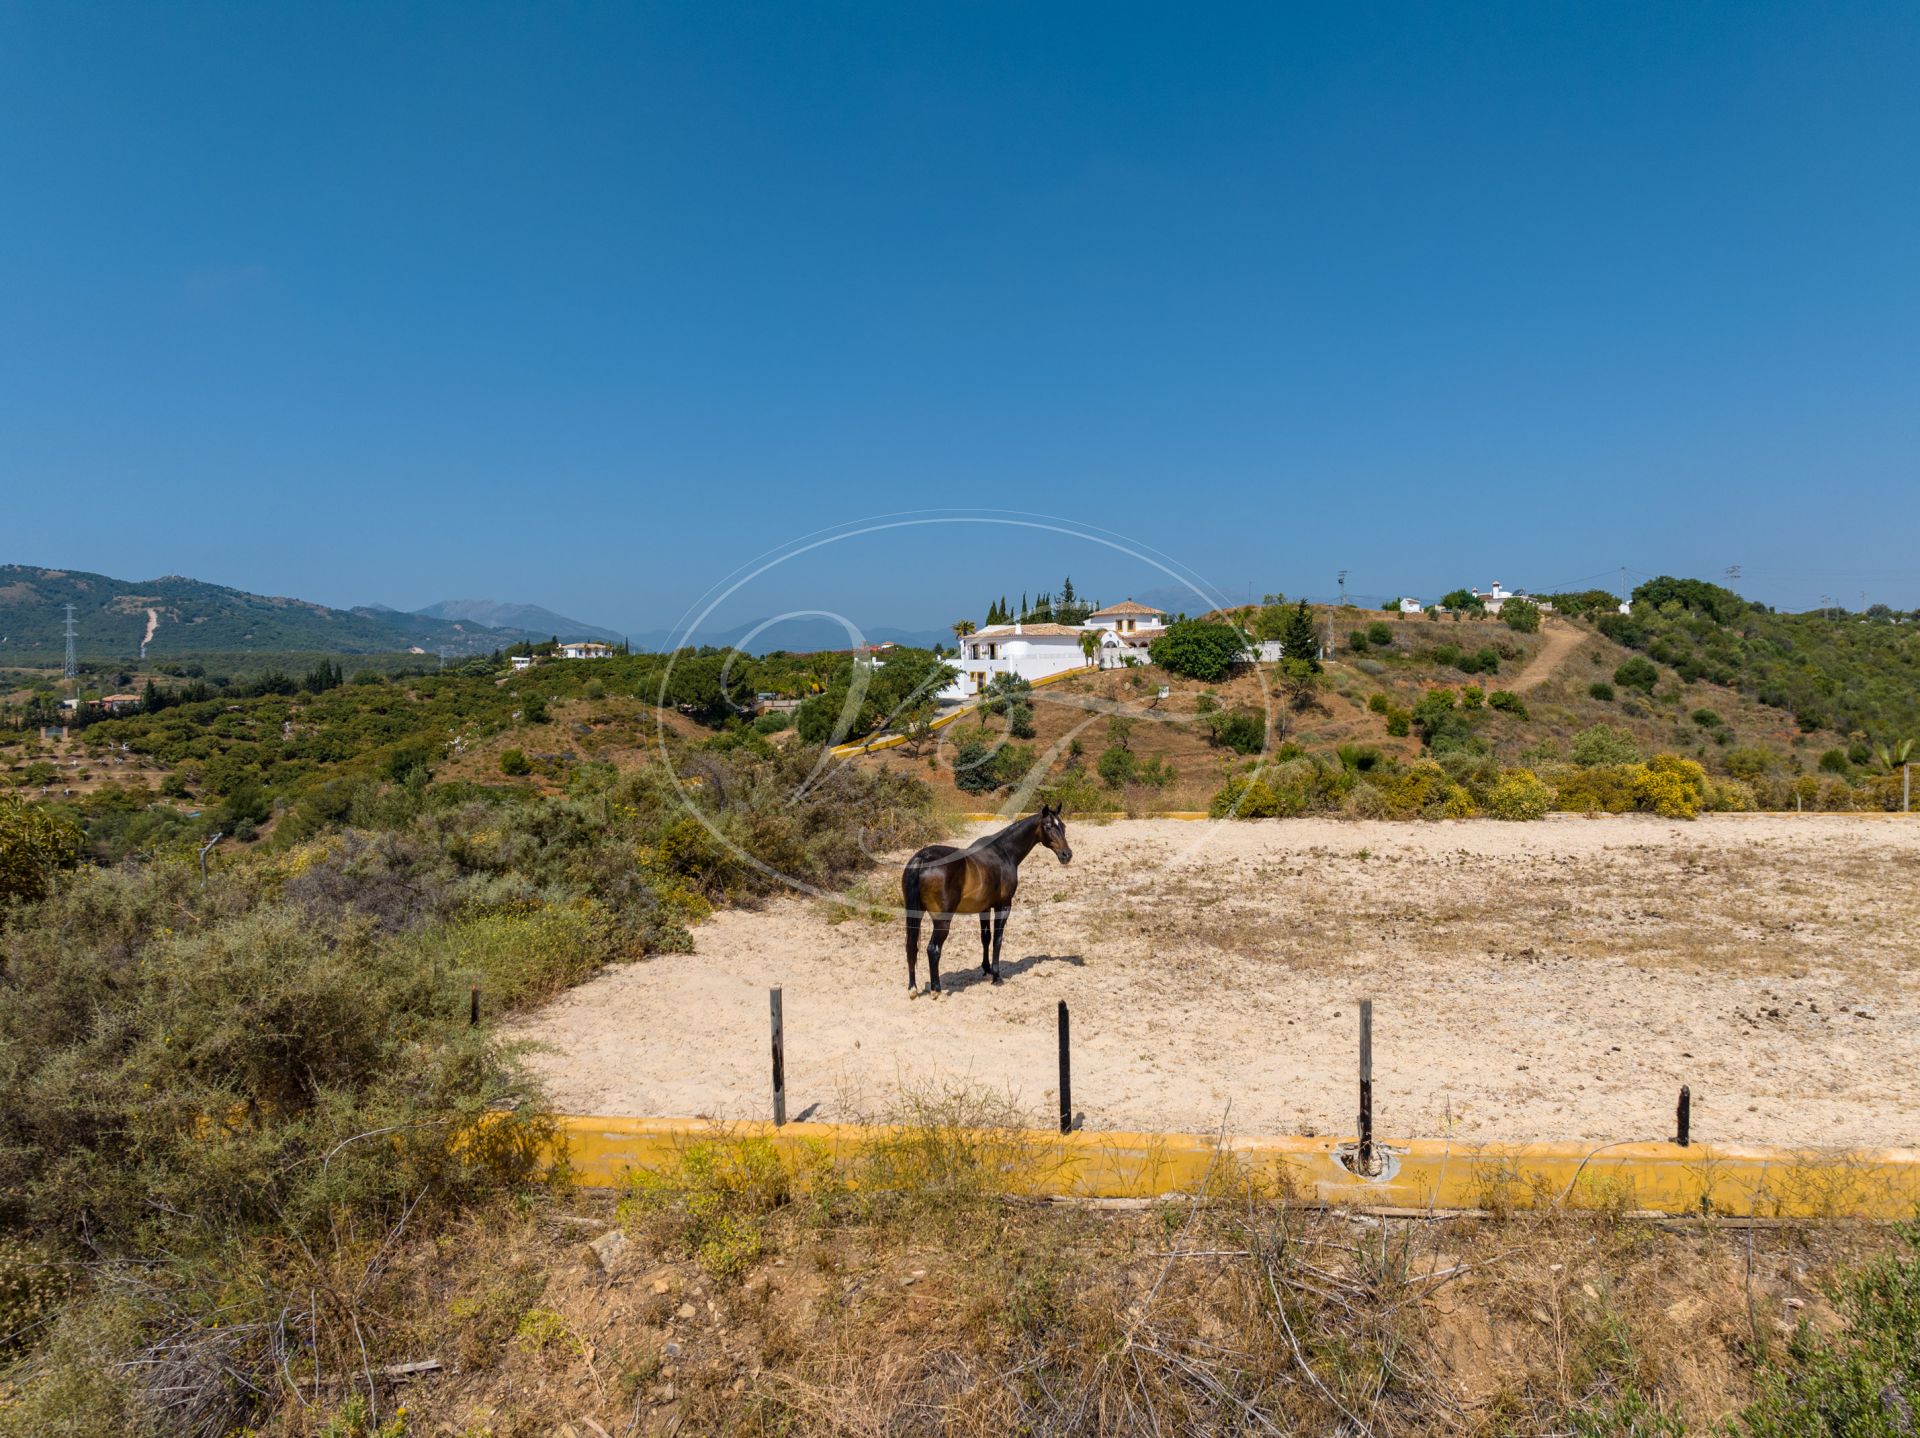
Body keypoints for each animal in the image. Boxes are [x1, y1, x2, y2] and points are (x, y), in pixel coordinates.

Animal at [894, 806, 1067, 998]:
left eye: (1063, 827)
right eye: (1048, 826)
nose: (1067, 854)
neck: (1004, 852)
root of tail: (922, 858)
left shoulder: (984, 909)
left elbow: (986, 937)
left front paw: (987, 968)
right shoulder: (1003, 906)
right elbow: (997, 939)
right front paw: (997, 976)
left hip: (915, 914)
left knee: (911, 947)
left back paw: (913, 989)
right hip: (942, 921)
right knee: (933, 949)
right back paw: (936, 989)